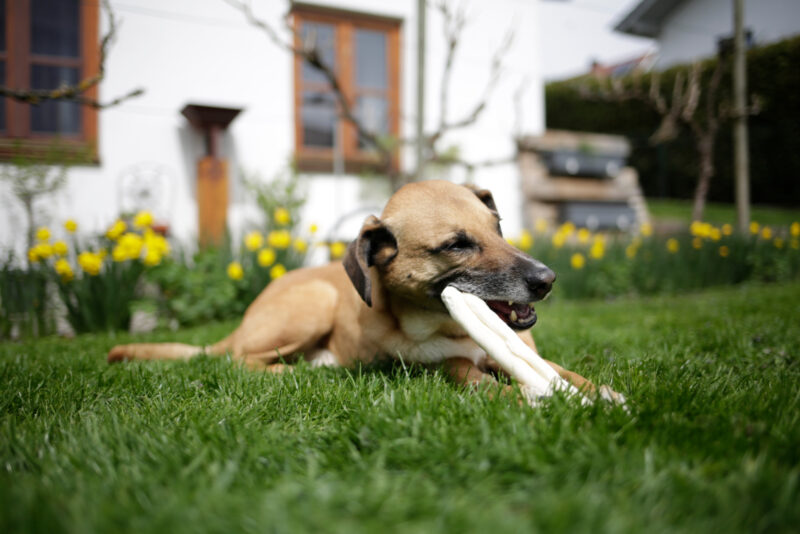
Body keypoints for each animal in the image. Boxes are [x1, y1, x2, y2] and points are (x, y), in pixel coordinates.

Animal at [109, 182, 616, 400]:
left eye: (498, 227)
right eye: (456, 245)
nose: (547, 280)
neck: (452, 329)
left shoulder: (524, 353)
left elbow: (565, 372)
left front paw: (602, 393)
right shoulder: (432, 366)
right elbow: (466, 373)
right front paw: (525, 399)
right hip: (312, 305)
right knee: (238, 361)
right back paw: (293, 372)